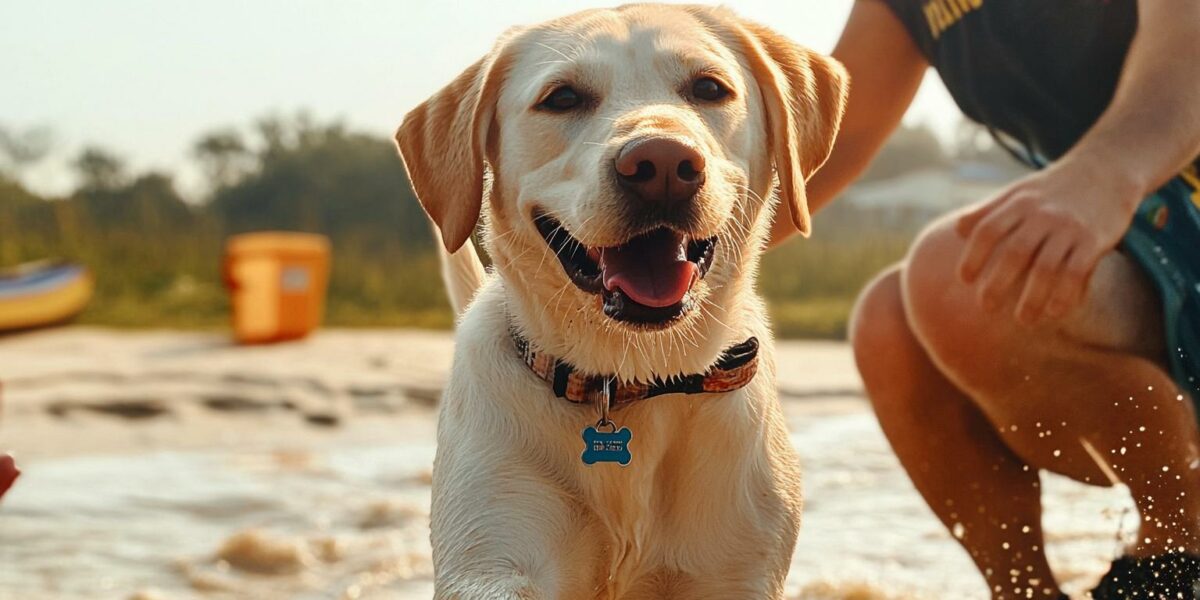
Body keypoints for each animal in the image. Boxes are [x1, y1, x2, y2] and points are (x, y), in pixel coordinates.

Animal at [393, 3, 844, 595]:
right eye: (562, 97)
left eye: (709, 87)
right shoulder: (495, 548)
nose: (663, 164)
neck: (630, 373)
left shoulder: (736, 567)